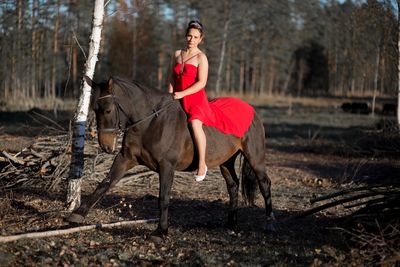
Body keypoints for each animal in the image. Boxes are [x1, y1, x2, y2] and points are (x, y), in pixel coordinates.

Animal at [68, 76, 276, 237]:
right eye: (94, 108)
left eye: (108, 110)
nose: (106, 145)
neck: (149, 122)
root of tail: (253, 111)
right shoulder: (125, 158)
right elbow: (105, 183)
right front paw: (77, 215)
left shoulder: (166, 166)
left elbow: (164, 197)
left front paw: (161, 231)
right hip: (226, 161)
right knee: (233, 185)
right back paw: (231, 223)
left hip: (255, 157)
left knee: (264, 184)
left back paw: (269, 223)